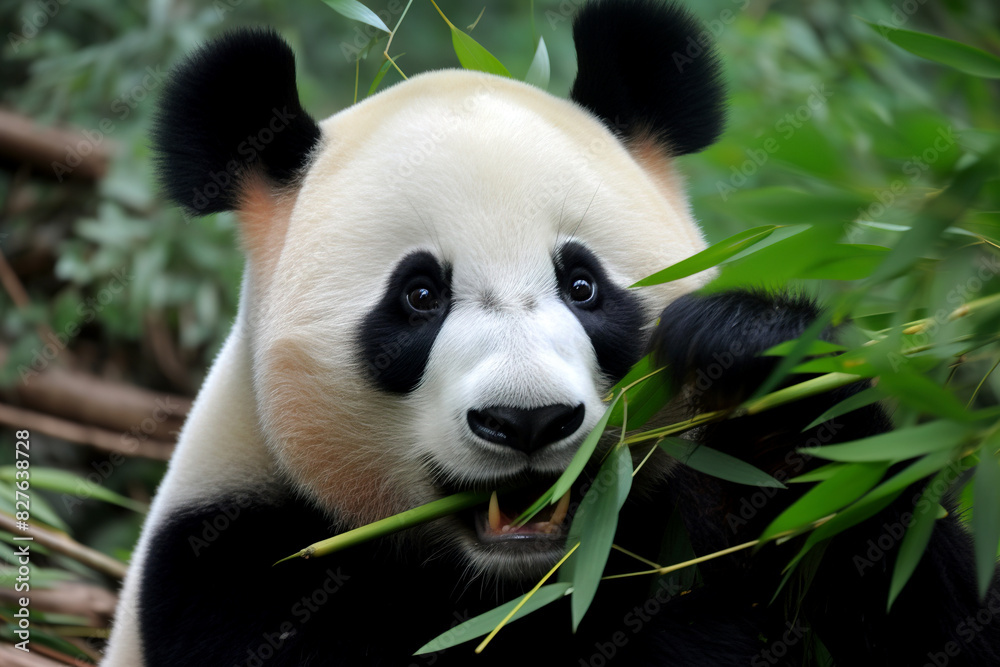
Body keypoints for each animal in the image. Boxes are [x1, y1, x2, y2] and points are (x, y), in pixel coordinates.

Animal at [102, 1, 1000, 665]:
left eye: (582, 285)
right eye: (419, 295)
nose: (527, 420)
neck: (526, 574)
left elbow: (905, 581)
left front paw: (756, 361)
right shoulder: (238, 565)